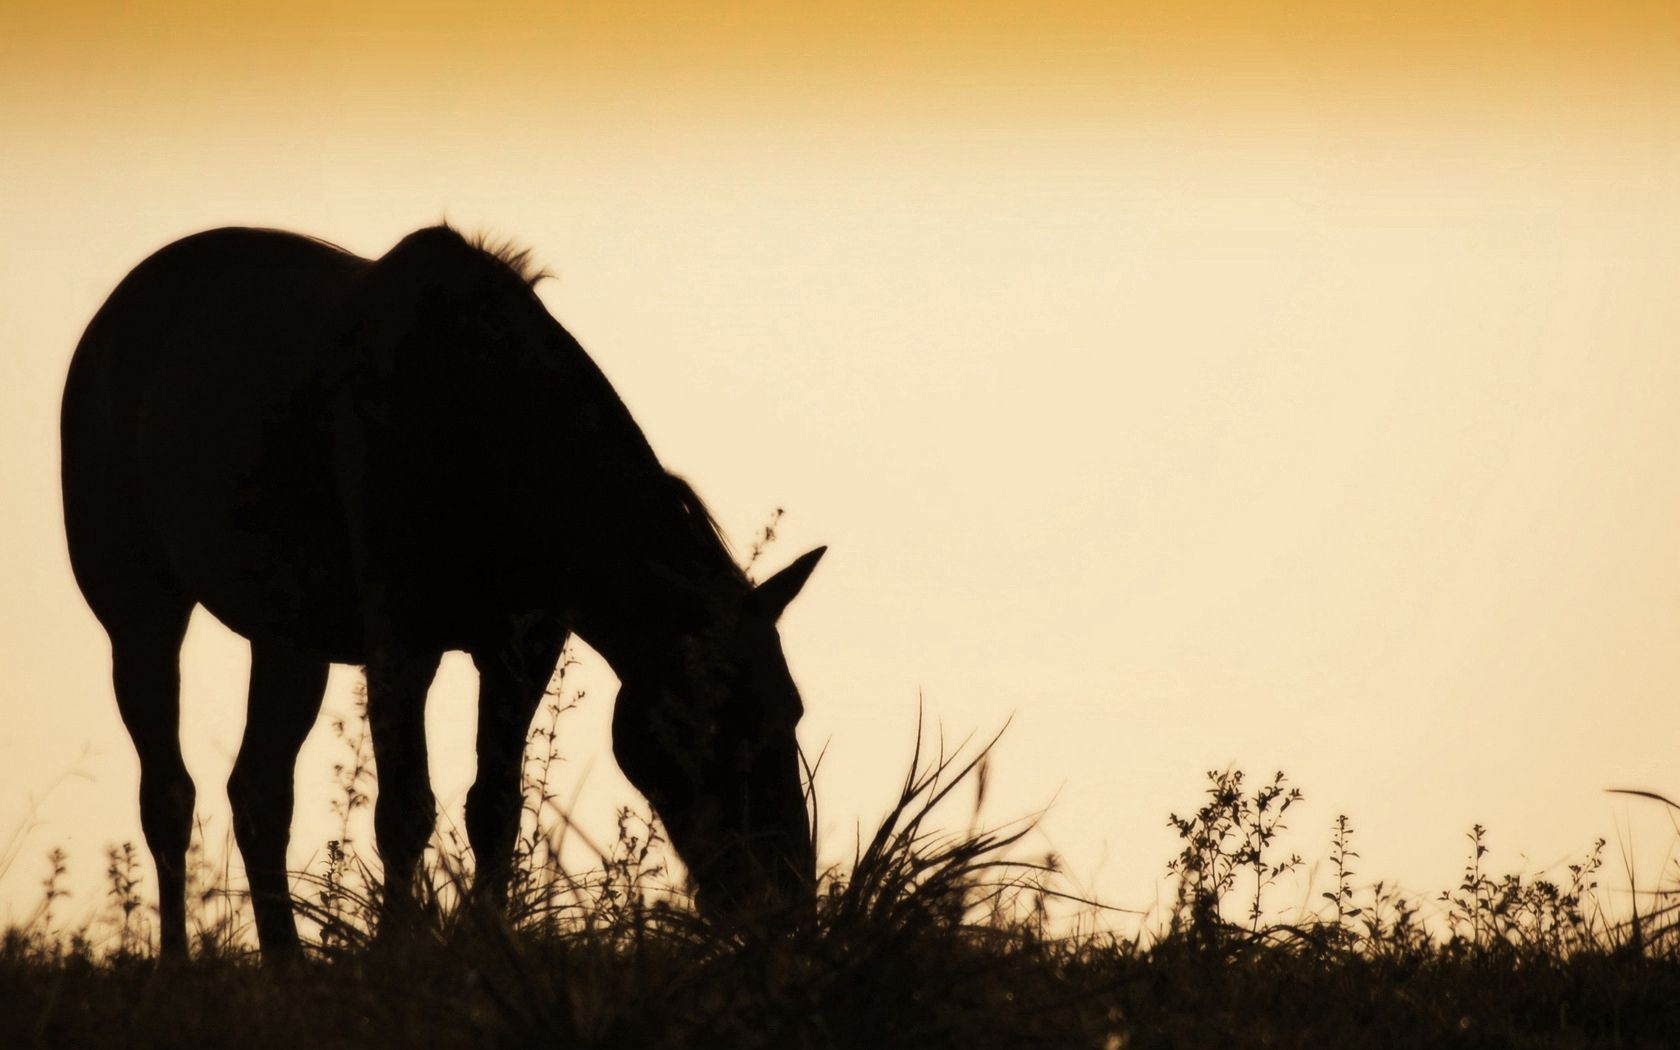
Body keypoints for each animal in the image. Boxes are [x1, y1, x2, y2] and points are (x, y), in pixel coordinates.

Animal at [62, 223, 823, 960]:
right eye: (715, 722)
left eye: (792, 710)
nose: (785, 900)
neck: (486, 427)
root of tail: (106, 325)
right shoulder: (402, 642)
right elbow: (403, 812)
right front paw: (397, 955)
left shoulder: (522, 646)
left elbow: (494, 807)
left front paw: (489, 944)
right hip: (141, 614)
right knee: (168, 793)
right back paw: (176, 965)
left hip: (288, 641)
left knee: (258, 793)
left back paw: (286, 965)